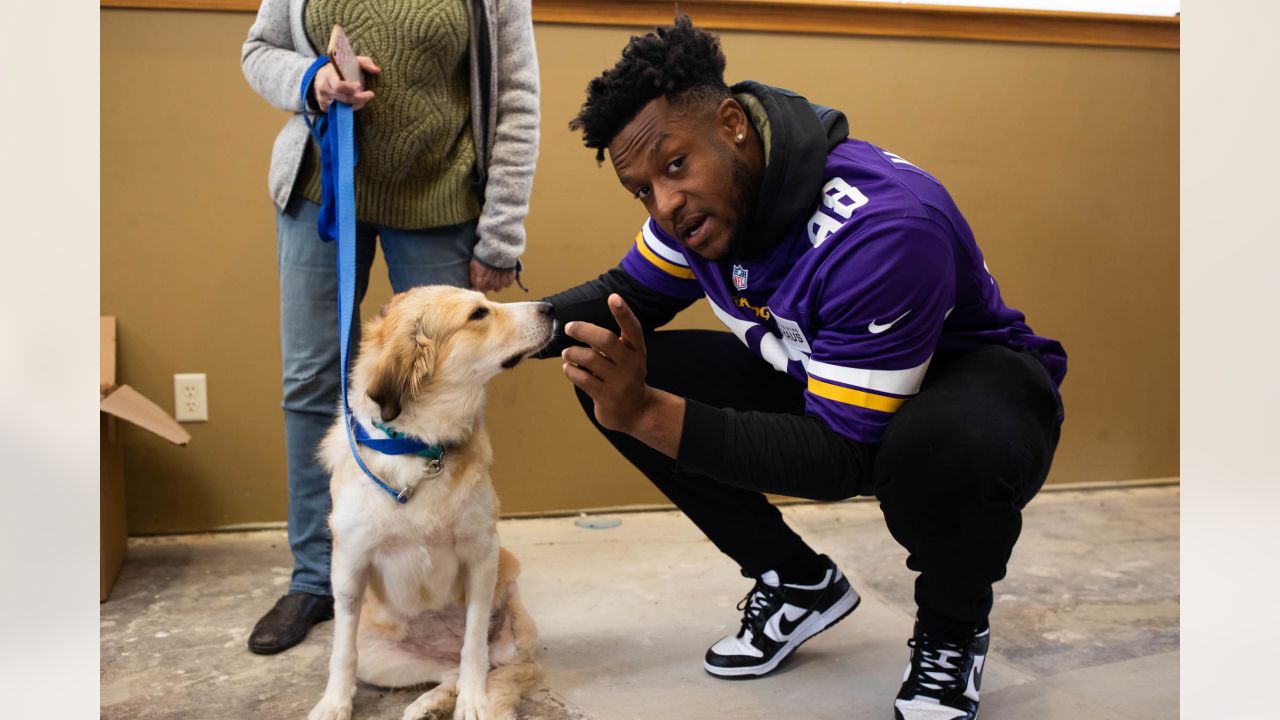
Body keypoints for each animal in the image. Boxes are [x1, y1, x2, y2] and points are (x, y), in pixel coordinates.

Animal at [308, 285, 555, 717]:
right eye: (478, 314)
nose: (552, 308)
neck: (420, 448)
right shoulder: (350, 562)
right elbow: (342, 650)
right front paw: (334, 703)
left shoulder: (481, 554)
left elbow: (473, 646)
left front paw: (474, 701)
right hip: (379, 657)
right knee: (445, 672)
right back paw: (429, 703)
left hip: (514, 639)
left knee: (489, 668)